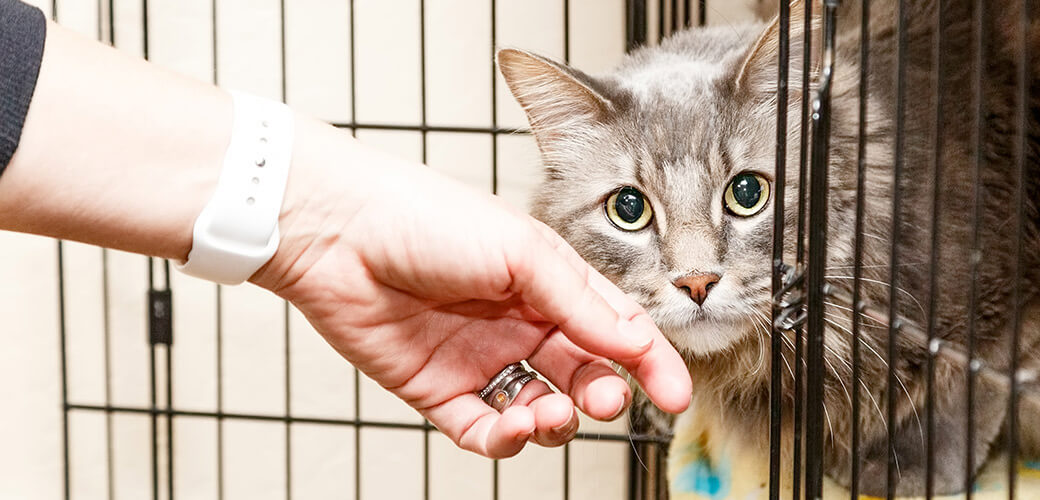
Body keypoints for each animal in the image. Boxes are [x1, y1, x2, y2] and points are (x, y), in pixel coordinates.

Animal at [499, 0, 1035, 494]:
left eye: (747, 192)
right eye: (629, 208)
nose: (697, 282)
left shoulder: (999, 297)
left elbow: (965, 391)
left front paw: (906, 471)